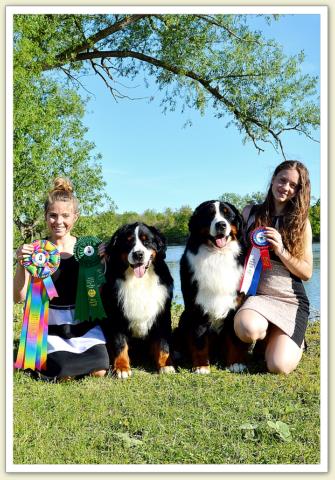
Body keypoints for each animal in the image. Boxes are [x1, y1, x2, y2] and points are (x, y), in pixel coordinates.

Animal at [101, 222, 176, 378]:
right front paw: (122, 368)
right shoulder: (116, 314)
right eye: (128, 241)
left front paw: (165, 365)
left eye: (146, 241)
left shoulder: (162, 313)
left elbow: (163, 343)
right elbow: (120, 343)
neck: (139, 279)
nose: (138, 254)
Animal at [176, 201, 249, 374]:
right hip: (184, 318)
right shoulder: (197, 307)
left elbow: (233, 339)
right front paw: (201, 366)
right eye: (209, 214)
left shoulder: (235, 305)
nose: (221, 224)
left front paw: (235, 363)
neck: (217, 256)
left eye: (227, 214)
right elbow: (199, 339)